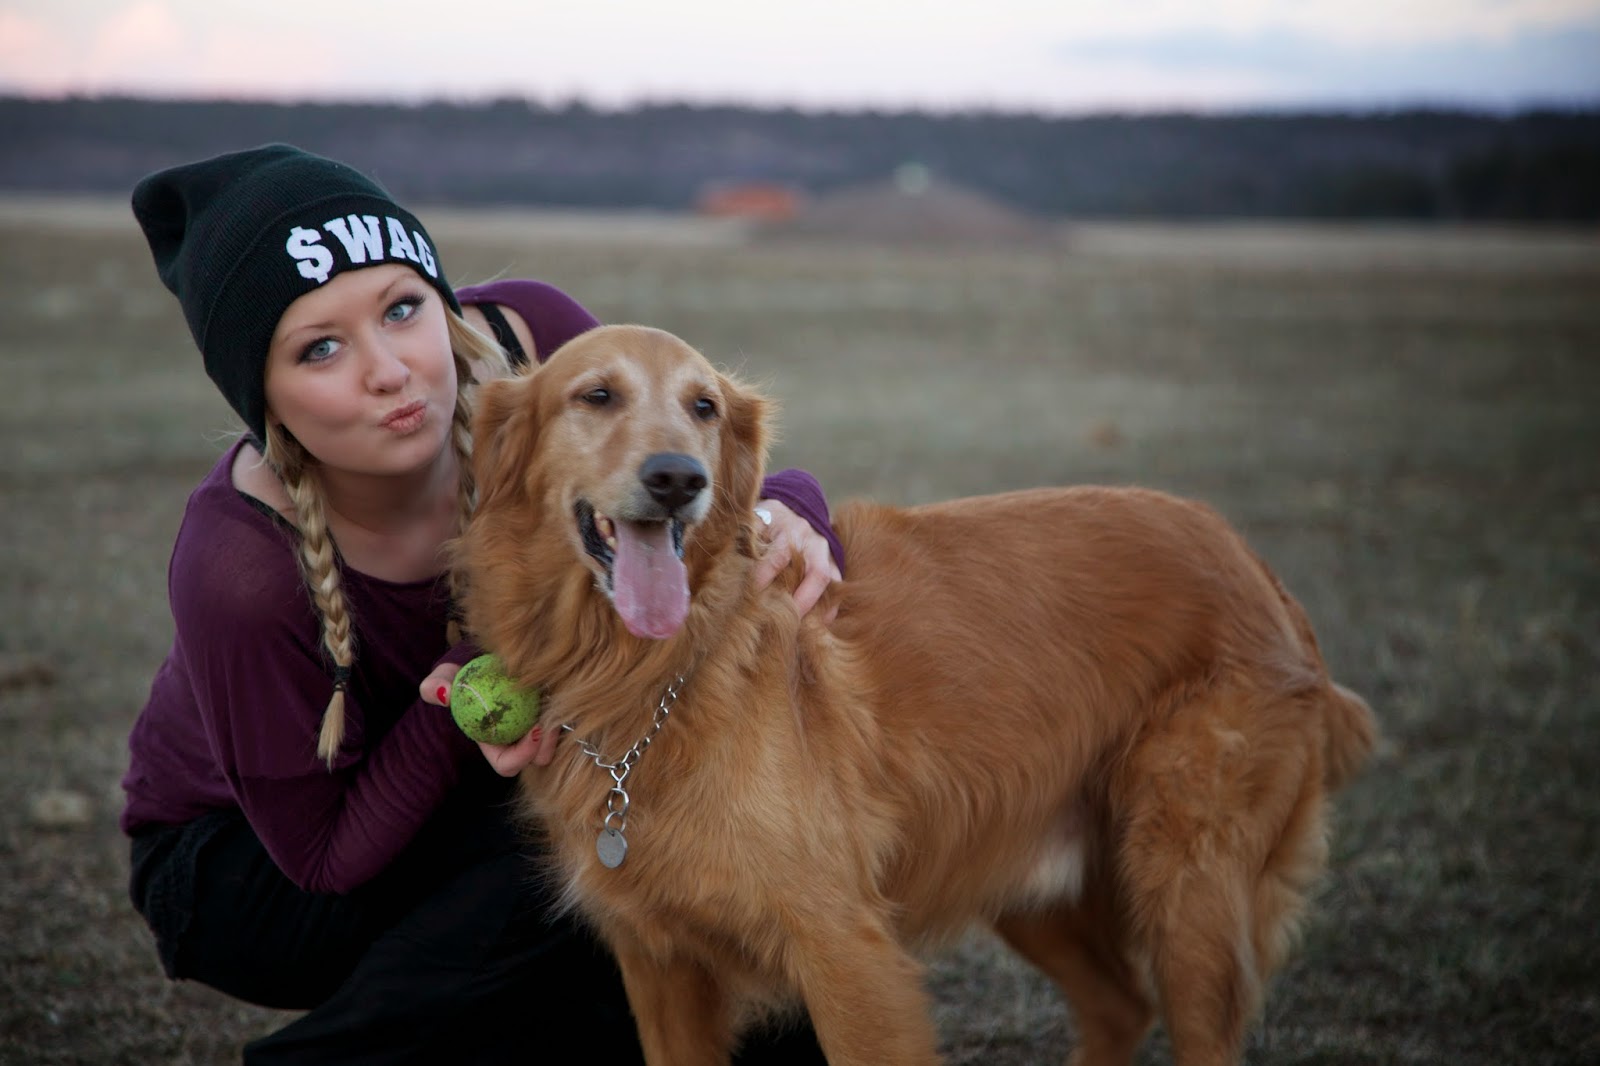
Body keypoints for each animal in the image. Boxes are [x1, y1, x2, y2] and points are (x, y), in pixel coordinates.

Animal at [456, 324, 1377, 1066]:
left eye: (705, 407)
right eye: (597, 395)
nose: (679, 478)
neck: (653, 676)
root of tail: (1252, 562)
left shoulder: (845, 949)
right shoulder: (659, 964)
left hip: (1185, 889)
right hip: (1030, 869)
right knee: (1120, 1006)